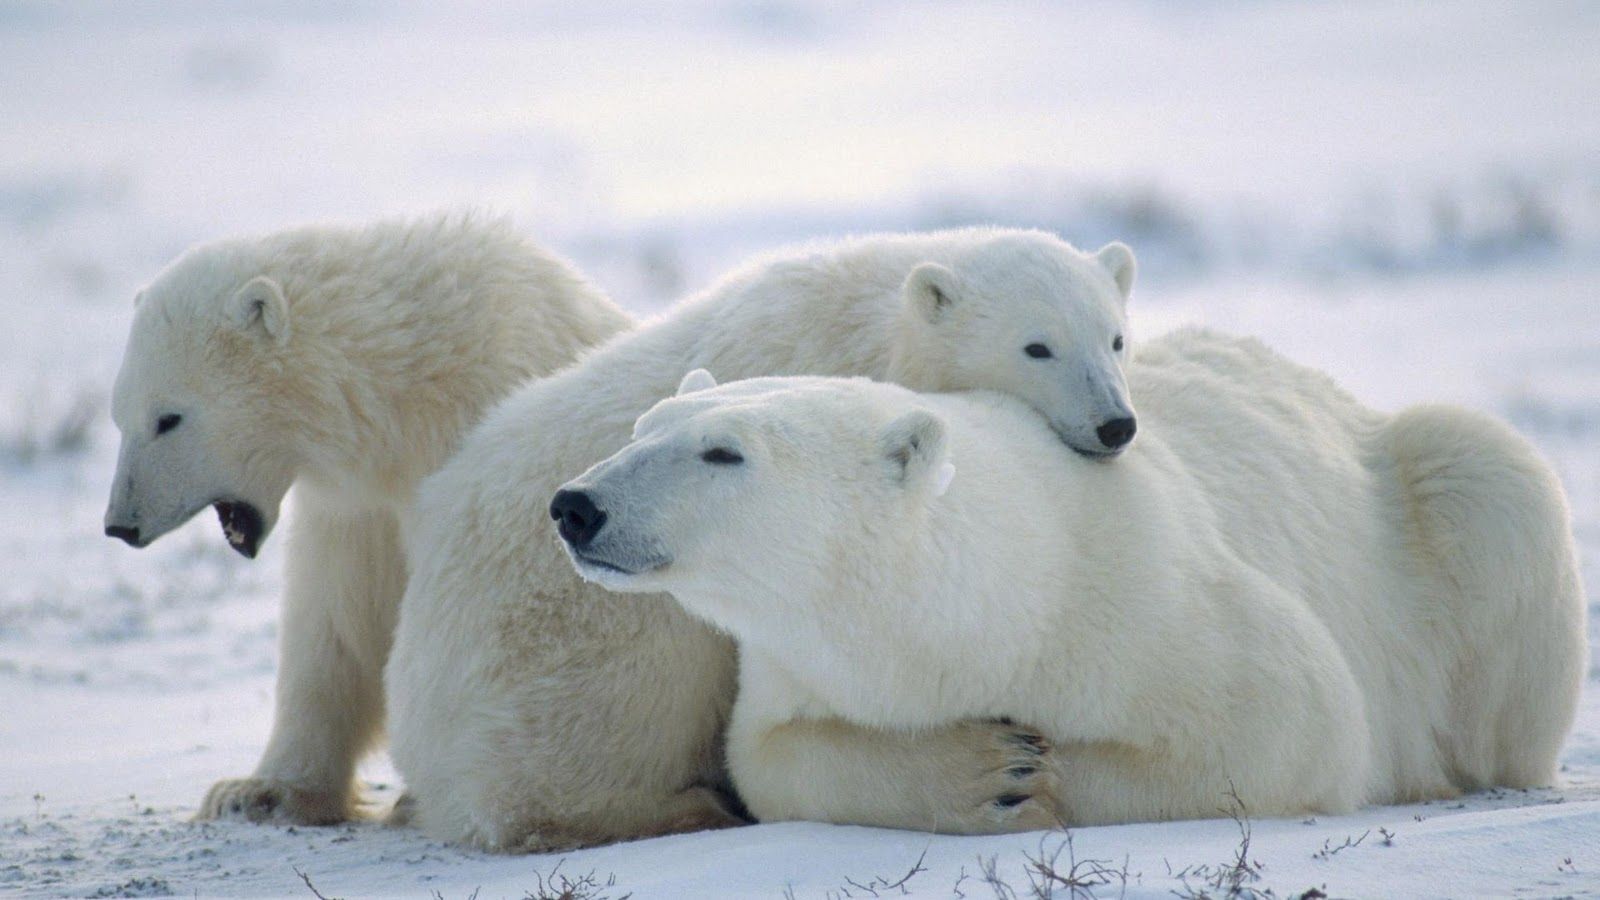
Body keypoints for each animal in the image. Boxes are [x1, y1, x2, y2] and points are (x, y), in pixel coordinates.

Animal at [103, 212, 630, 826]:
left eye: (169, 418)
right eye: (119, 416)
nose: (120, 524)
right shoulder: (356, 509)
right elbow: (336, 622)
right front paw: (256, 791)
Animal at [385, 225, 1139, 845]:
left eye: (1115, 337)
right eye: (1037, 346)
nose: (1116, 424)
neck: (874, 321)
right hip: (557, 651)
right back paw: (682, 807)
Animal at [556, 333, 1580, 832]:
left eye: (723, 452)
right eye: (645, 425)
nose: (576, 505)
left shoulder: (1148, 601)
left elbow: (1294, 724)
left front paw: (1038, 774)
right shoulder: (796, 666)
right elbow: (773, 758)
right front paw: (988, 773)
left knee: (1487, 473)